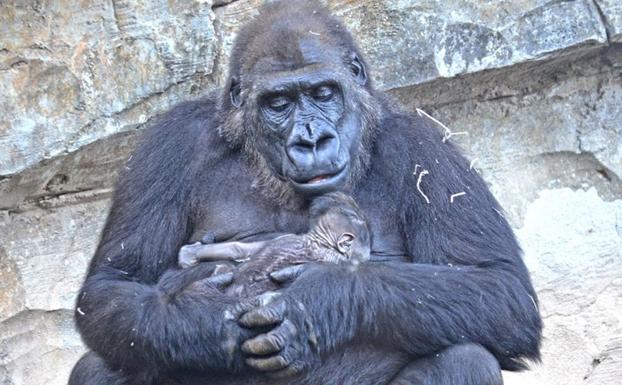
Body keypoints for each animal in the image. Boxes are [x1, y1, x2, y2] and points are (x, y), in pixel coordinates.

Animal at [70, 0, 544, 384]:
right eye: (278, 103)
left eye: (323, 93)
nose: (311, 140)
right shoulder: (167, 144)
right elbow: (114, 283)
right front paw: (204, 322)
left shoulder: (430, 148)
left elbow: (498, 287)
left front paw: (318, 302)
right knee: (102, 363)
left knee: (465, 356)